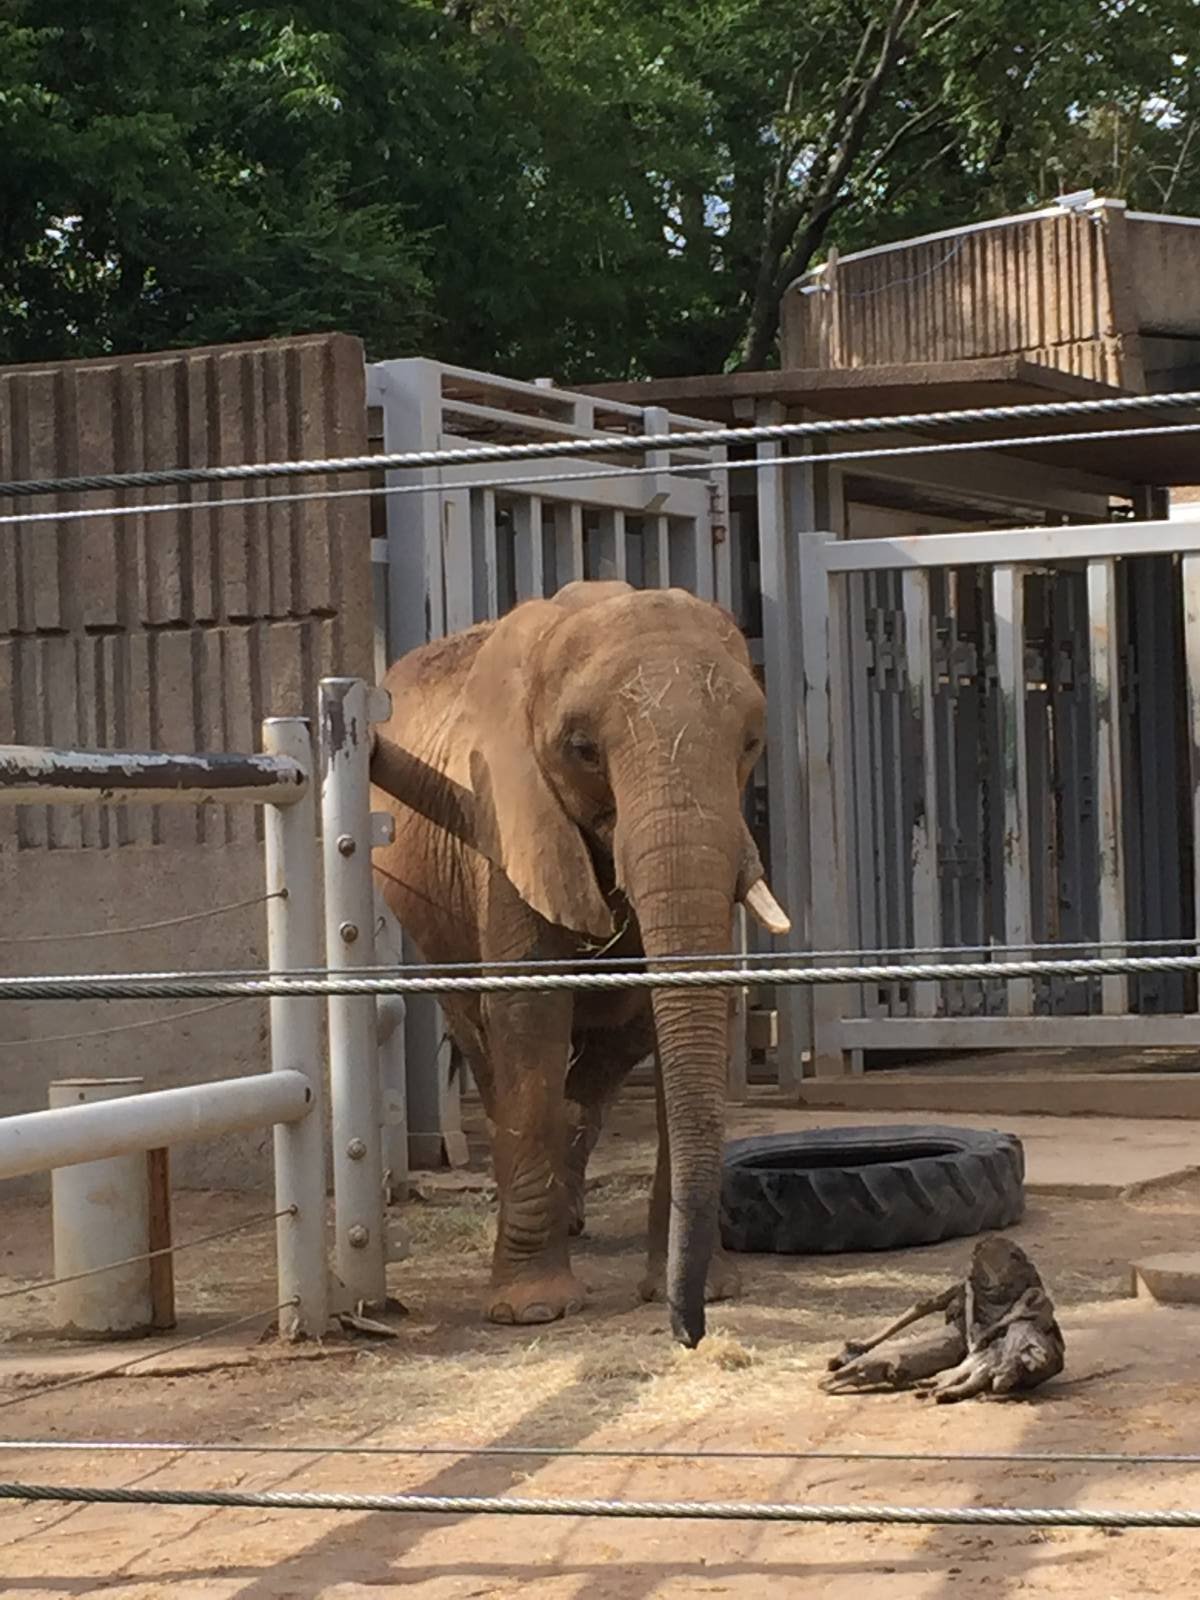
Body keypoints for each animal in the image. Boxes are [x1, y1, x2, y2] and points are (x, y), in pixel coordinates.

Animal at [369, 579, 788, 1347]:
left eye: (750, 743)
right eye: (583, 749)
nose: (689, 1333)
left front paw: (701, 1289)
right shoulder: (504, 822)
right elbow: (532, 1012)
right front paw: (532, 1310)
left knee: (609, 1052)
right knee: (486, 1040)